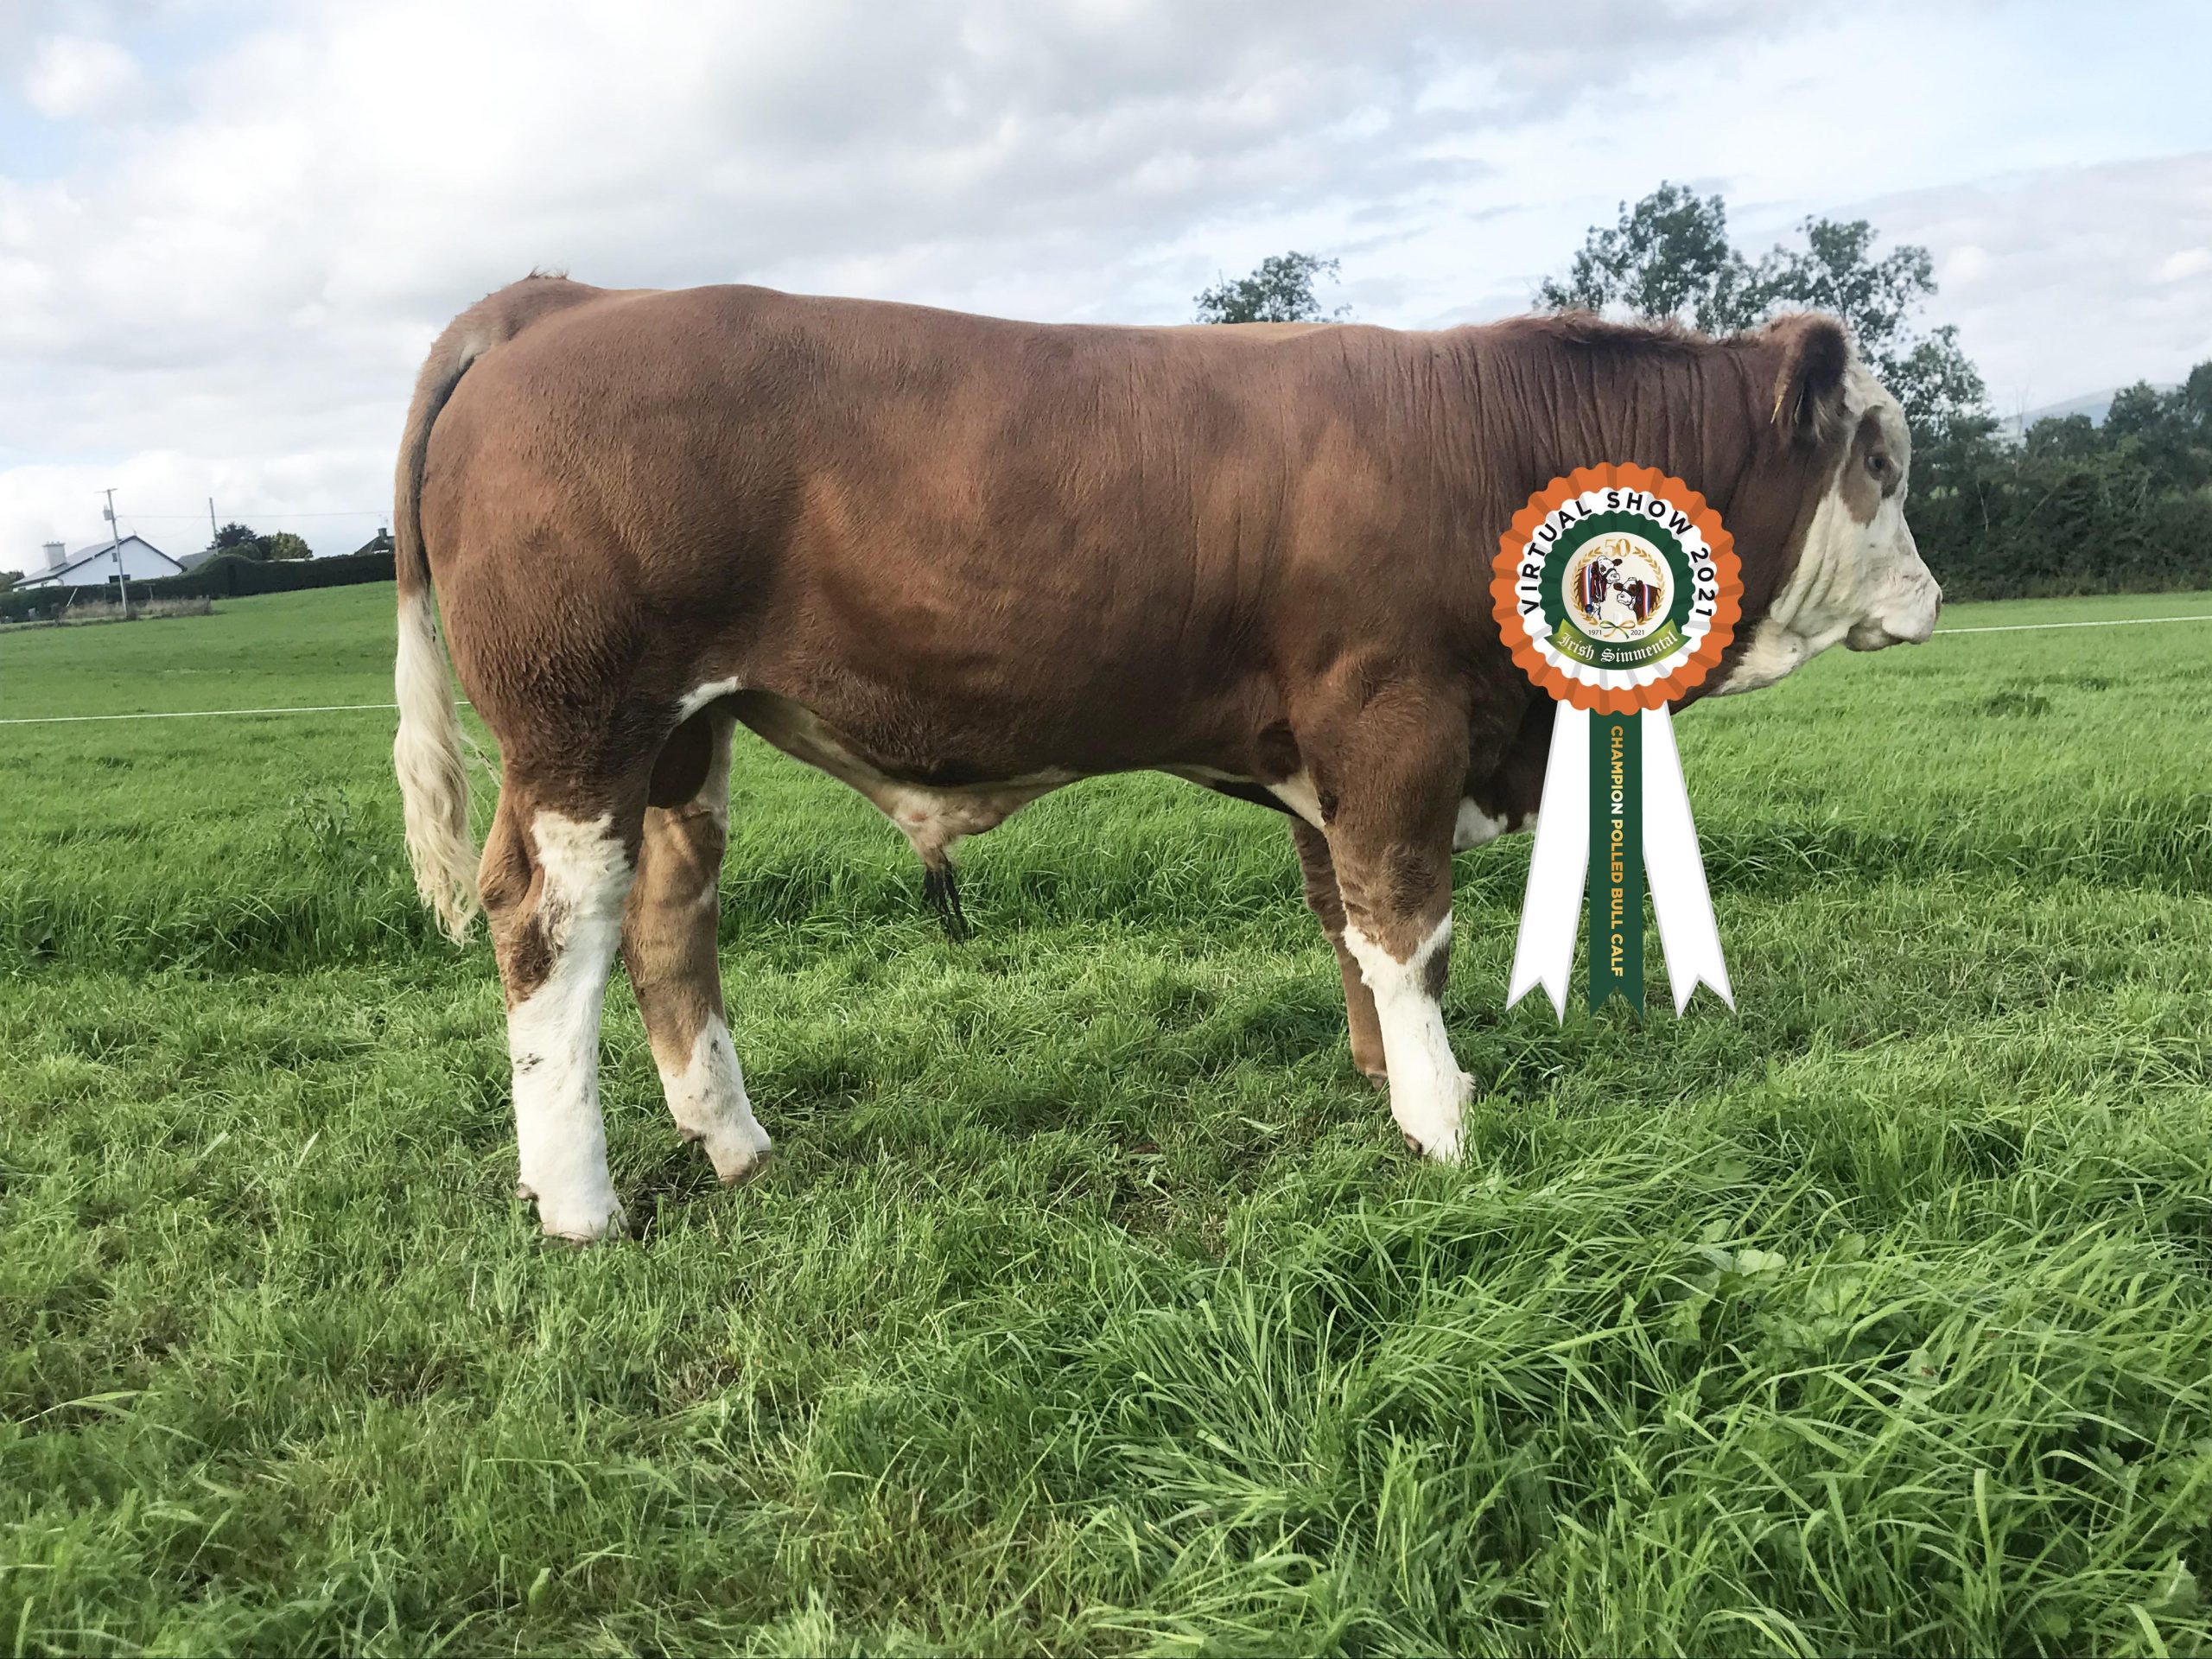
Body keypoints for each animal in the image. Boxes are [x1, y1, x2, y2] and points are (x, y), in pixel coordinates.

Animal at [392, 275, 1938, 1240]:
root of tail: (566, 300)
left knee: (670, 924)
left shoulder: (1324, 745)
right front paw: (1446, 1121)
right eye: (1879, 456)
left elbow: (1344, 919)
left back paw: (734, 1144)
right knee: (551, 930)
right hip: (581, 722)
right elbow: (1407, 919)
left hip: (682, 741)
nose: (1930, 595)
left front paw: (1384, 1084)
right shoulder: (1394, 715)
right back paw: (579, 1204)